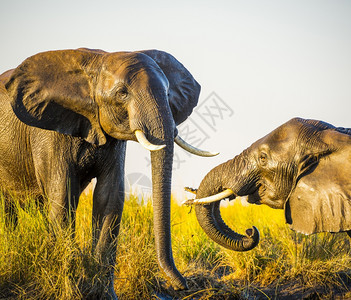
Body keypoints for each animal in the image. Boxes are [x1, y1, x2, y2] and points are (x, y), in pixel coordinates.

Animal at [0, 48, 217, 296]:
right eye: (122, 93)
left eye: (168, 92)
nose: (182, 285)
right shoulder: (49, 133)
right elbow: (62, 198)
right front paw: (70, 293)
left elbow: (109, 199)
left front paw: (103, 295)